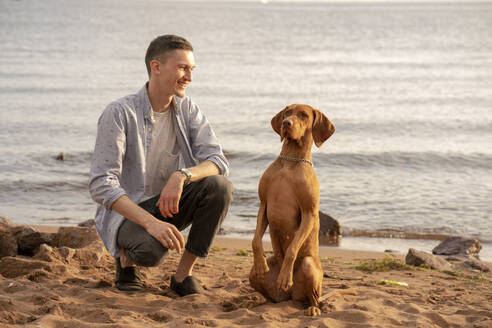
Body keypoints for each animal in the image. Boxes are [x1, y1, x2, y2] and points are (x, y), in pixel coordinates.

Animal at [250, 104, 334, 316]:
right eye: (287, 113)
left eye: (304, 115)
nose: (286, 123)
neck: (290, 161)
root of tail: (291, 296)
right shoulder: (263, 204)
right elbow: (255, 241)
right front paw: (260, 261)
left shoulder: (309, 213)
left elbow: (292, 249)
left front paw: (285, 276)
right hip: (254, 276)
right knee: (270, 295)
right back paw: (256, 301)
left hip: (309, 267)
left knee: (313, 299)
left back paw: (313, 308)